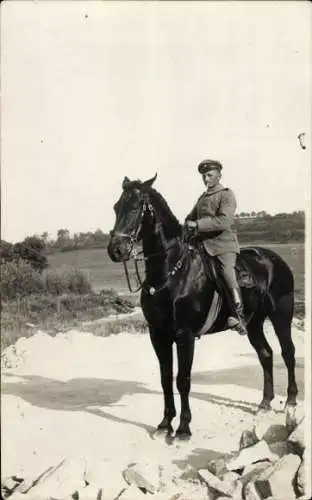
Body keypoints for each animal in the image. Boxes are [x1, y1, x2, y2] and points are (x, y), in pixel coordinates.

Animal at [107, 175, 298, 438]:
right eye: (117, 207)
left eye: (135, 207)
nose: (115, 250)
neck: (172, 272)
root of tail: (275, 259)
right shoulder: (158, 335)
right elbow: (165, 378)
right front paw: (165, 424)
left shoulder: (184, 335)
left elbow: (183, 379)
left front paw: (183, 428)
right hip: (253, 323)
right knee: (265, 354)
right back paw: (265, 403)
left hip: (281, 315)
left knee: (288, 353)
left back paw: (290, 401)